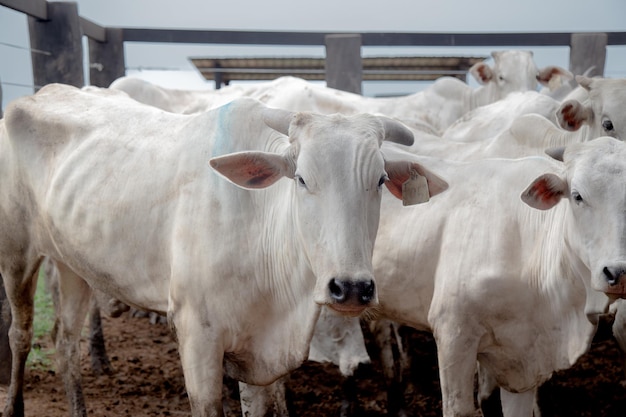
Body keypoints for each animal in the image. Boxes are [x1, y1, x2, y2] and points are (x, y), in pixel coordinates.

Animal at [1, 83, 448, 416]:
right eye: (302, 178)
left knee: (64, 341)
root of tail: (35, 96)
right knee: (20, 334)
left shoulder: (256, 352)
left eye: (380, 179)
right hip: (16, 254)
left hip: (72, 264)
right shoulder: (196, 335)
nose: (351, 288)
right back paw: (13, 403)